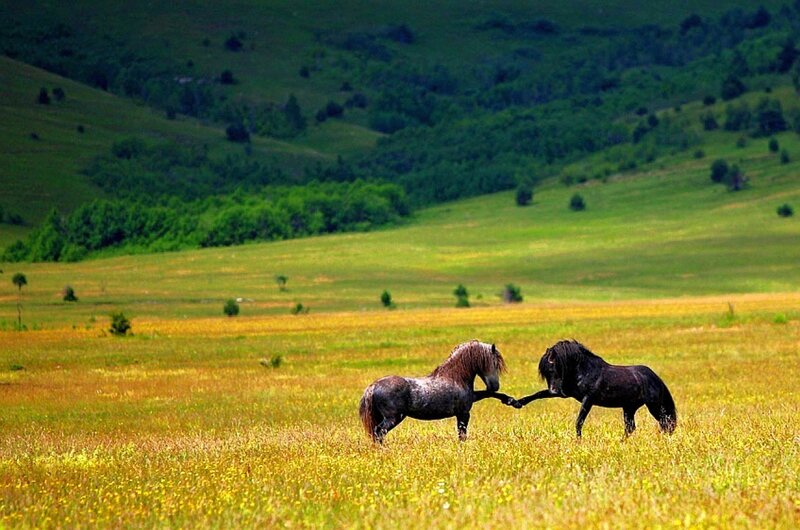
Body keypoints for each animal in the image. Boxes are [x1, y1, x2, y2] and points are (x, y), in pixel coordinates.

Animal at [359, 340, 515, 444]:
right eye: (494, 363)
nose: (495, 386)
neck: (455, 377)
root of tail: (373, 387)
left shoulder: (471, 400)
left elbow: (487, 395)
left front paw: (511, 401)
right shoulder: (463, 413)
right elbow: (462, 435)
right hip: (393, 418)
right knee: (379, 432)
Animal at [512, 340, 676, 438]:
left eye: (555, 368)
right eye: (546, 372)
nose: (553, 389)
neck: (584, 370)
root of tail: (656, 378)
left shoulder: (588, 400)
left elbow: (579, 421)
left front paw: (578, 441)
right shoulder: (565, 393)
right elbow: (539, 394)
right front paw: (517, 403)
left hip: (653, 406)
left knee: (666, 422)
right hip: (629, 407)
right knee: (631, 428)